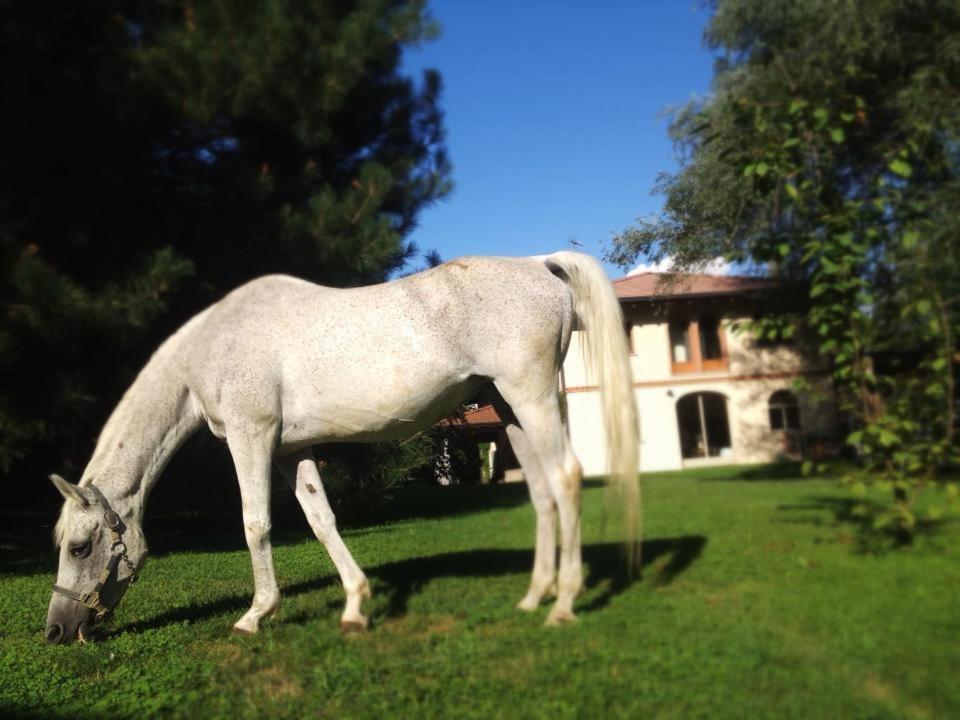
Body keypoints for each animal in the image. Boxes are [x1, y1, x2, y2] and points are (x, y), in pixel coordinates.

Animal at [48, 250, 640, 644]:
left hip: (531, 398)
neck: (215, 345)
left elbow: (255, 523)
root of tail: (540, 264)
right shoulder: (290, 451)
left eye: (78, 547)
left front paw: (255, 615)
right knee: (541, 493)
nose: (57, 630)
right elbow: (320, 519)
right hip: (511, 410)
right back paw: (534, 595)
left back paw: (563, 603)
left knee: (566, 477)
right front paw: (355, 605)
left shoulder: (250, 437)